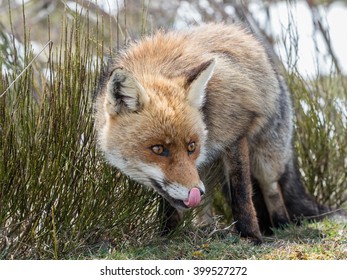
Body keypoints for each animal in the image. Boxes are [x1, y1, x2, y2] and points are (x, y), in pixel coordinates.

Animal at [94, 23, 346, 244]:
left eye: (191, 146)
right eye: (158, 149)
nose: (195, 191)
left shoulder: (235, 134)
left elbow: (241, 194)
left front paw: (251, 236)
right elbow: (170, 205)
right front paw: (166, 236)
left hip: (265, 159)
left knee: (272, 190)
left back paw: (280, 225)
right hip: (207, 168)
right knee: (208, 201)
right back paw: (206, 228)